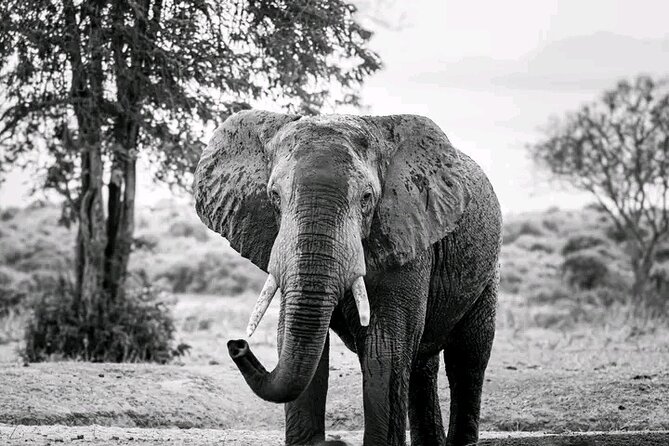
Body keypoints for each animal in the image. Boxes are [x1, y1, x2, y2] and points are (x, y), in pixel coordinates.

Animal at [194, 109, 502, 446]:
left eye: (366, 198)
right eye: (274, 196)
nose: (237, 344)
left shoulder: (407, 236)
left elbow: (385, 346)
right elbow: (300, 344)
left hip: (487, 270)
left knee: (468, 357)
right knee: (423, 362)